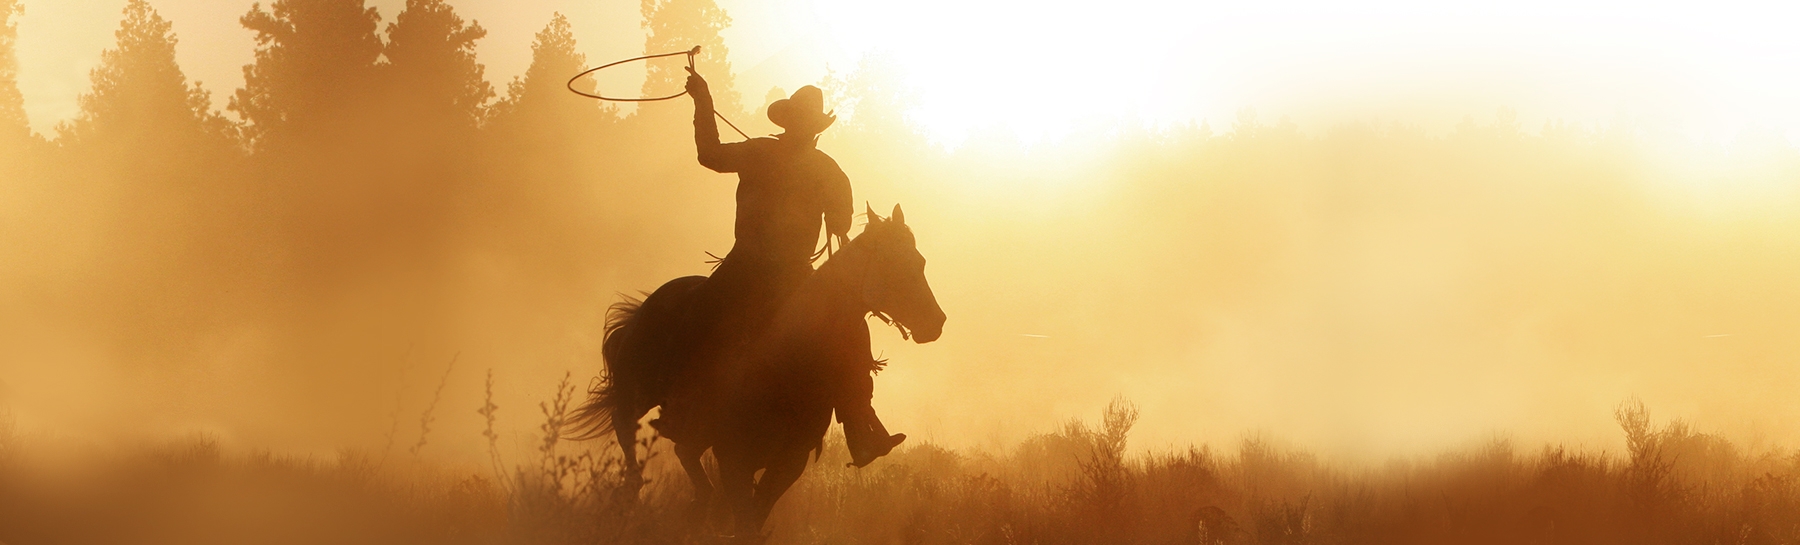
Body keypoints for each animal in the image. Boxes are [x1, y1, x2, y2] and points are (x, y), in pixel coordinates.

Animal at [568, 204, 950, 539]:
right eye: (893, 264)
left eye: (920, 261)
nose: (936, 322)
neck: (789, 362)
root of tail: (642, 308)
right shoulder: (733, 456)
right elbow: (745, 520)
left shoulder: (788, 462)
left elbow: (754, 516)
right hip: (634, 397)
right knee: (631, 441)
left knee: (686, 456)